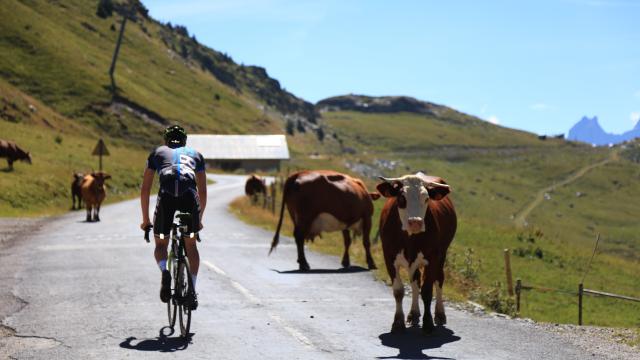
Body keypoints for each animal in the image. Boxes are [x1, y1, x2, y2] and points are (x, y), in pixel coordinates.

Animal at [378, 173, 458, 334]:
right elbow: (398, 291)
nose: (415, 222)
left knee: (439, 279)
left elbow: (427, 292)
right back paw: (414, 314)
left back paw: (440, 314)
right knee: (415, 281)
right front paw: (398, 322)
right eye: (401, 198)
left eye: (426, 198)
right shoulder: (389, 257)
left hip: (442, 255)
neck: (409, 238)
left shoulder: (433, 257)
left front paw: (428, 324)